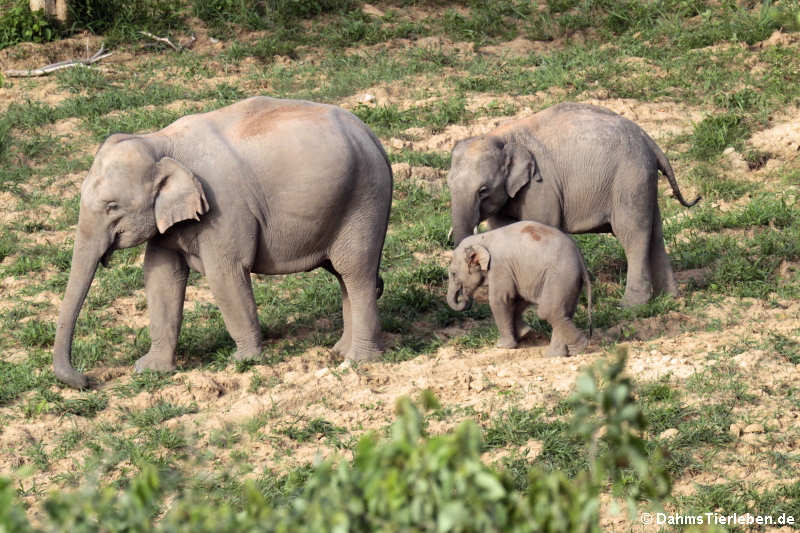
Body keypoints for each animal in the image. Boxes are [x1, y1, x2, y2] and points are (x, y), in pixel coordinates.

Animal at [51, 95, 396, 388]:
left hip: (364, 200)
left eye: (112, 207)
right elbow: (161, 276)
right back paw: (340, 350)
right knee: (344, 276)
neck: (160, 141)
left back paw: (358, 361)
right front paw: (150, 369)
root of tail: (373, 138)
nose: (88, 380)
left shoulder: (223, 208)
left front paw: (243, 361)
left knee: (356, 272)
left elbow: (225, 274)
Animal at [446, 220, 592, 358]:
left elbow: (500, 300)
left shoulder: (500, 267)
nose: (464, 297)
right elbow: (519, 298)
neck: (483, 238)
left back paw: (579, 348)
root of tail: (581, 259)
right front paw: (524, 333)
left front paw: (503, 346)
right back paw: (555, 355)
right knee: (564, 313)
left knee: (548, 312)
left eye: (453, 274)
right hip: (569, 282)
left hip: (561, 277)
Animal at [450, 102, 700, 308]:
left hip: (630, 178)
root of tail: (650, 140)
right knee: (655, 233)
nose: (464, 300)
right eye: (448, 185)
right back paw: (670, 298)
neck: (501, 136)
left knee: (633, 233)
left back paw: (631, 306)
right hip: (643, 182)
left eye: (483, 190)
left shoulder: (540, 187)